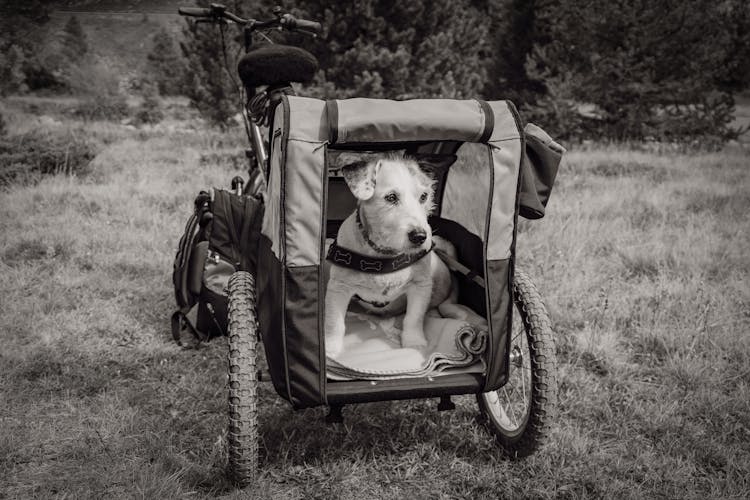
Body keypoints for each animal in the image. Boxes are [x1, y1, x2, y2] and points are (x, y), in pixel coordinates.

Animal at [324, 154, 456, 358]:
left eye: (424, 196)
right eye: (391, 197)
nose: (420, 236)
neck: (384, 255)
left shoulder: (420, 286)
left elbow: (414, 318)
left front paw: (414, 342)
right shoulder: (339, 287)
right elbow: (334, 321)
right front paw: (330, 349)